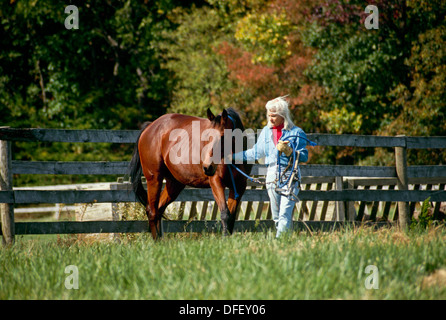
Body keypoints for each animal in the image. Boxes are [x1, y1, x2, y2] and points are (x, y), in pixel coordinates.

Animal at [129, 108, 253, 240]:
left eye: (223, 137)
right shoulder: (216, 182)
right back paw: (157, 241)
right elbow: (225, 214)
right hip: (154, 179)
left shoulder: (239, 187)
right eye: (206, 137)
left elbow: (231, 217)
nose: (207, 167)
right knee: (151, 211)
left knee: (158, 209)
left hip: (174, 184)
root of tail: (150, 127)